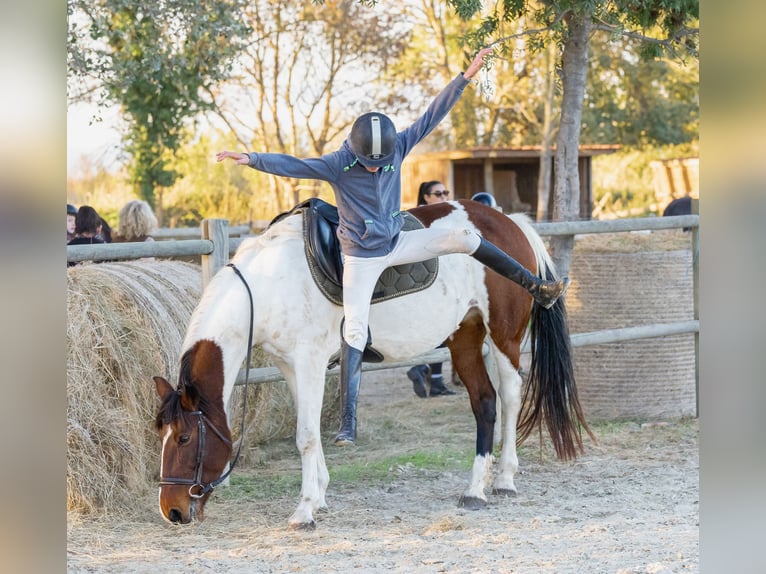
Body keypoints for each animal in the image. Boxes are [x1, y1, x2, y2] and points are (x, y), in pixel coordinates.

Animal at [154, 199, 592, 532]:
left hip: (503, 337)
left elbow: (306, 436)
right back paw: (474, 490)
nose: (171, 510)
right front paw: (320, 495)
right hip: (464, 338)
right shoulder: (292, 367)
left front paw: (304, 510)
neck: (267, 283)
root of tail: (511, 223)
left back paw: (503, 479)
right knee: (484, 403)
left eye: (184, 438)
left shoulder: (309, 361)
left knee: (510, 397)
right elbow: (310, 430)